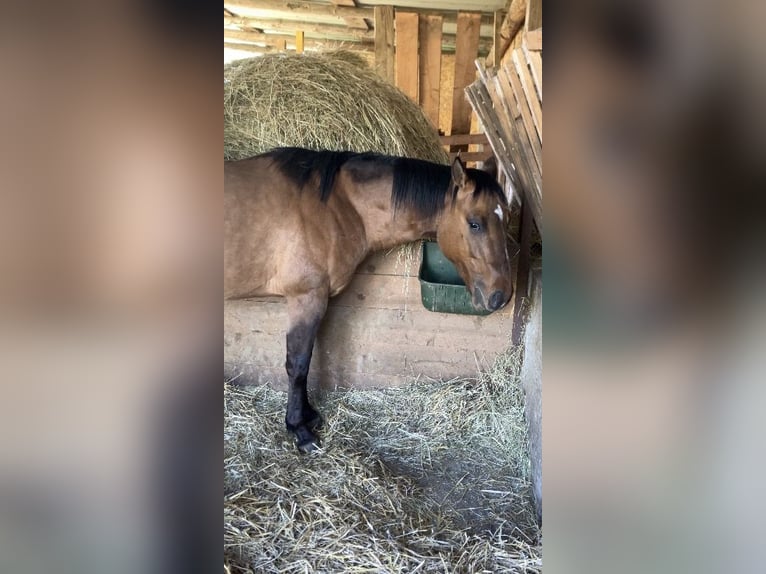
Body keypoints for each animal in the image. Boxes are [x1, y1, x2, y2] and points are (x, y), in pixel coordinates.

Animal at [225, 147, 513, 451]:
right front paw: (300, 429)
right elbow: (299, 364)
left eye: (505, 218)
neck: (335, 205)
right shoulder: (306, 298)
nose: (502, 294)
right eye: (474, 223)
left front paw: (308, 416)